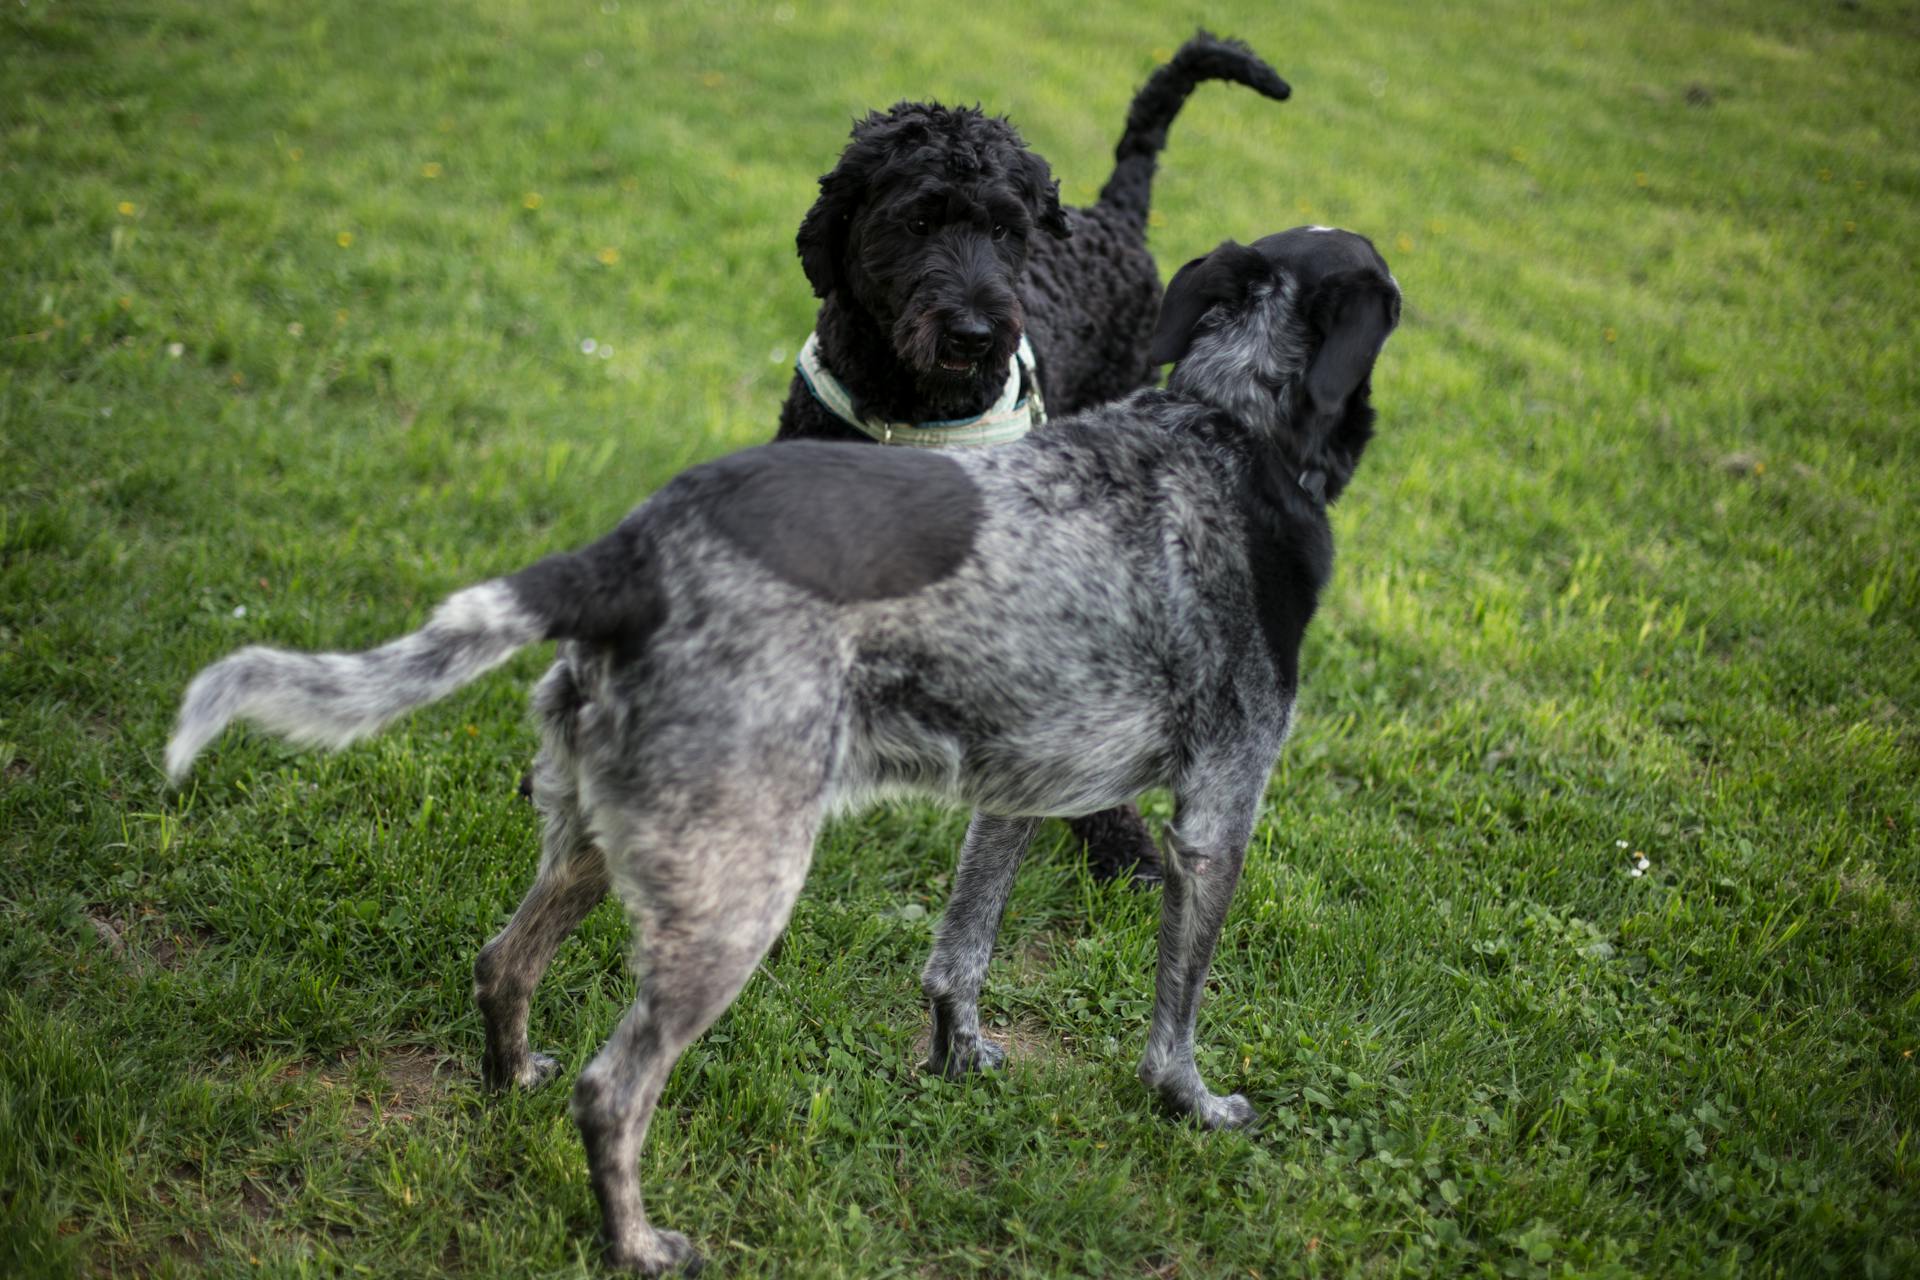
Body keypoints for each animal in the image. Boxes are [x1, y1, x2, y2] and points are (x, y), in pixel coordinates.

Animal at [168, 225, 1397, 1274]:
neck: (1230, 428)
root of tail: (627, 553)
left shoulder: (1020, 787)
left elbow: (960, 955)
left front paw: (959, 1061)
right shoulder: (1218, 814)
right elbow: (1173, 1020)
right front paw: (1194, 1109)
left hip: (609, 839)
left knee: (501, 963)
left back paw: (510, 1080)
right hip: (741, 891)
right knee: (612, 1089)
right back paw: (637, 1245)